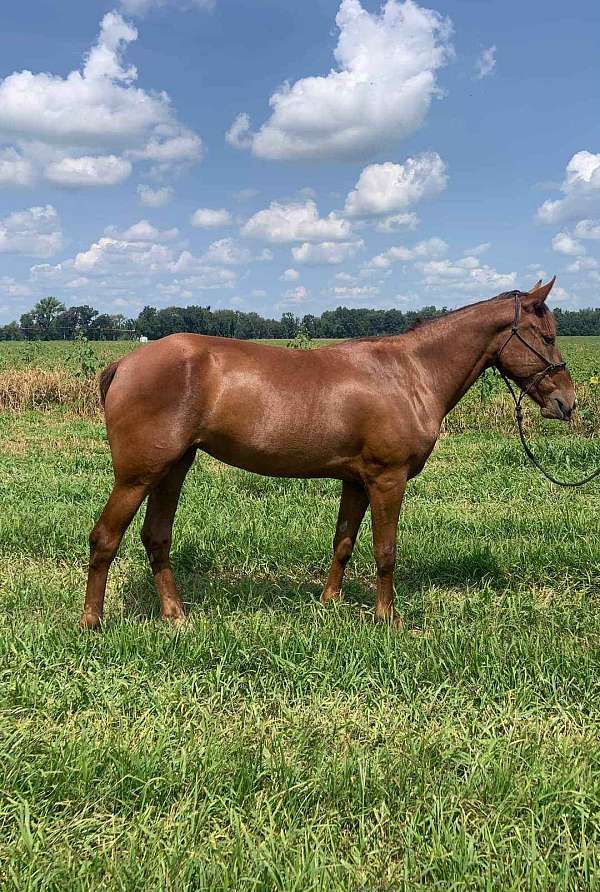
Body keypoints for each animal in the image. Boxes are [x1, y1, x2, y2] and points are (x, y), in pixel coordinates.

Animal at [81, 277, 575, 630]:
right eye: (547, 336)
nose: (566, 403)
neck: (409, 373)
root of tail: (123, 364)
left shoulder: (356, 480)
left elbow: (344, 542)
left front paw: (330, 602)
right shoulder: (387, 478)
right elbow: (385, 550)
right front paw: (388, 618)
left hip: (173, 467)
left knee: (156, 537)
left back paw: (174, 613)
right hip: (138, 475)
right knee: (105, 537)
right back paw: (93, 621)